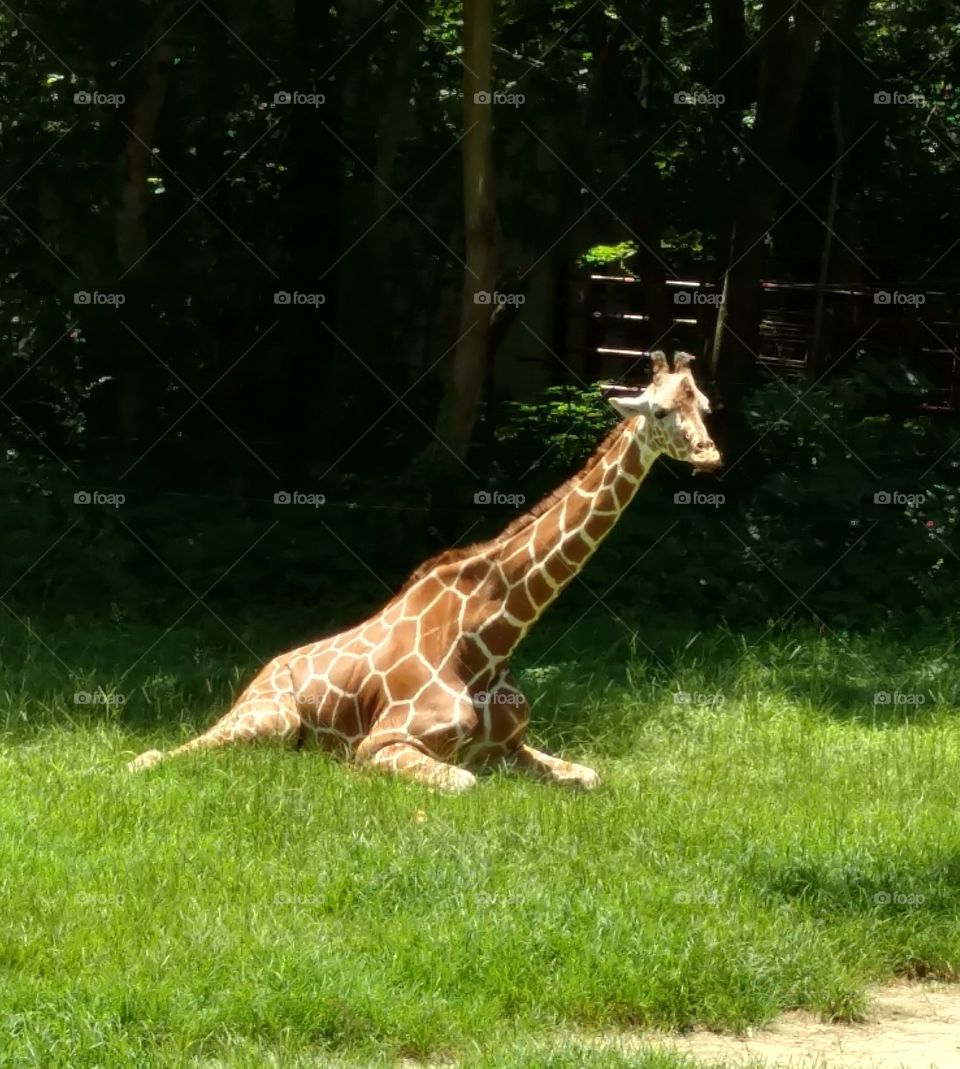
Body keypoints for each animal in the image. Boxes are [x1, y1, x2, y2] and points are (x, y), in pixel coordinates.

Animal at [128, 351, 720, 792]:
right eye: (660, 411)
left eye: (705, 406)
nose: (709, 455)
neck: (489, 642)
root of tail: (259, 673)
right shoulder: (382, 744)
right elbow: (462, 782)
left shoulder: (509, 748)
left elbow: (590, 776)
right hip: (269, 717)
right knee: (164, 753)